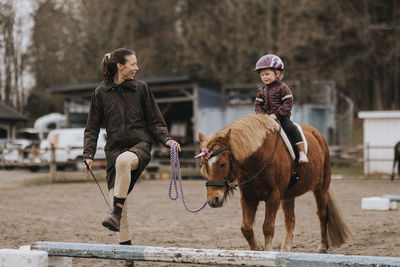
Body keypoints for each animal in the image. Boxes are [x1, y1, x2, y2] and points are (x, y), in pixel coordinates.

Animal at [198, 114, 348, 254]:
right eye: (204, 165)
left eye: (223, 164)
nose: (213, 200)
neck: (259, 157)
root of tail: (318, 135)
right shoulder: (248, 197)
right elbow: (246, 227)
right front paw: (256, 248)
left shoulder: (273, 196)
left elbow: (268, 227)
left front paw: (268, 251)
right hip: (288, 196)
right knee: (290, 219)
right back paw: (286, 249)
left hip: (321, 189)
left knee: (322, 215)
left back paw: (322, 247)